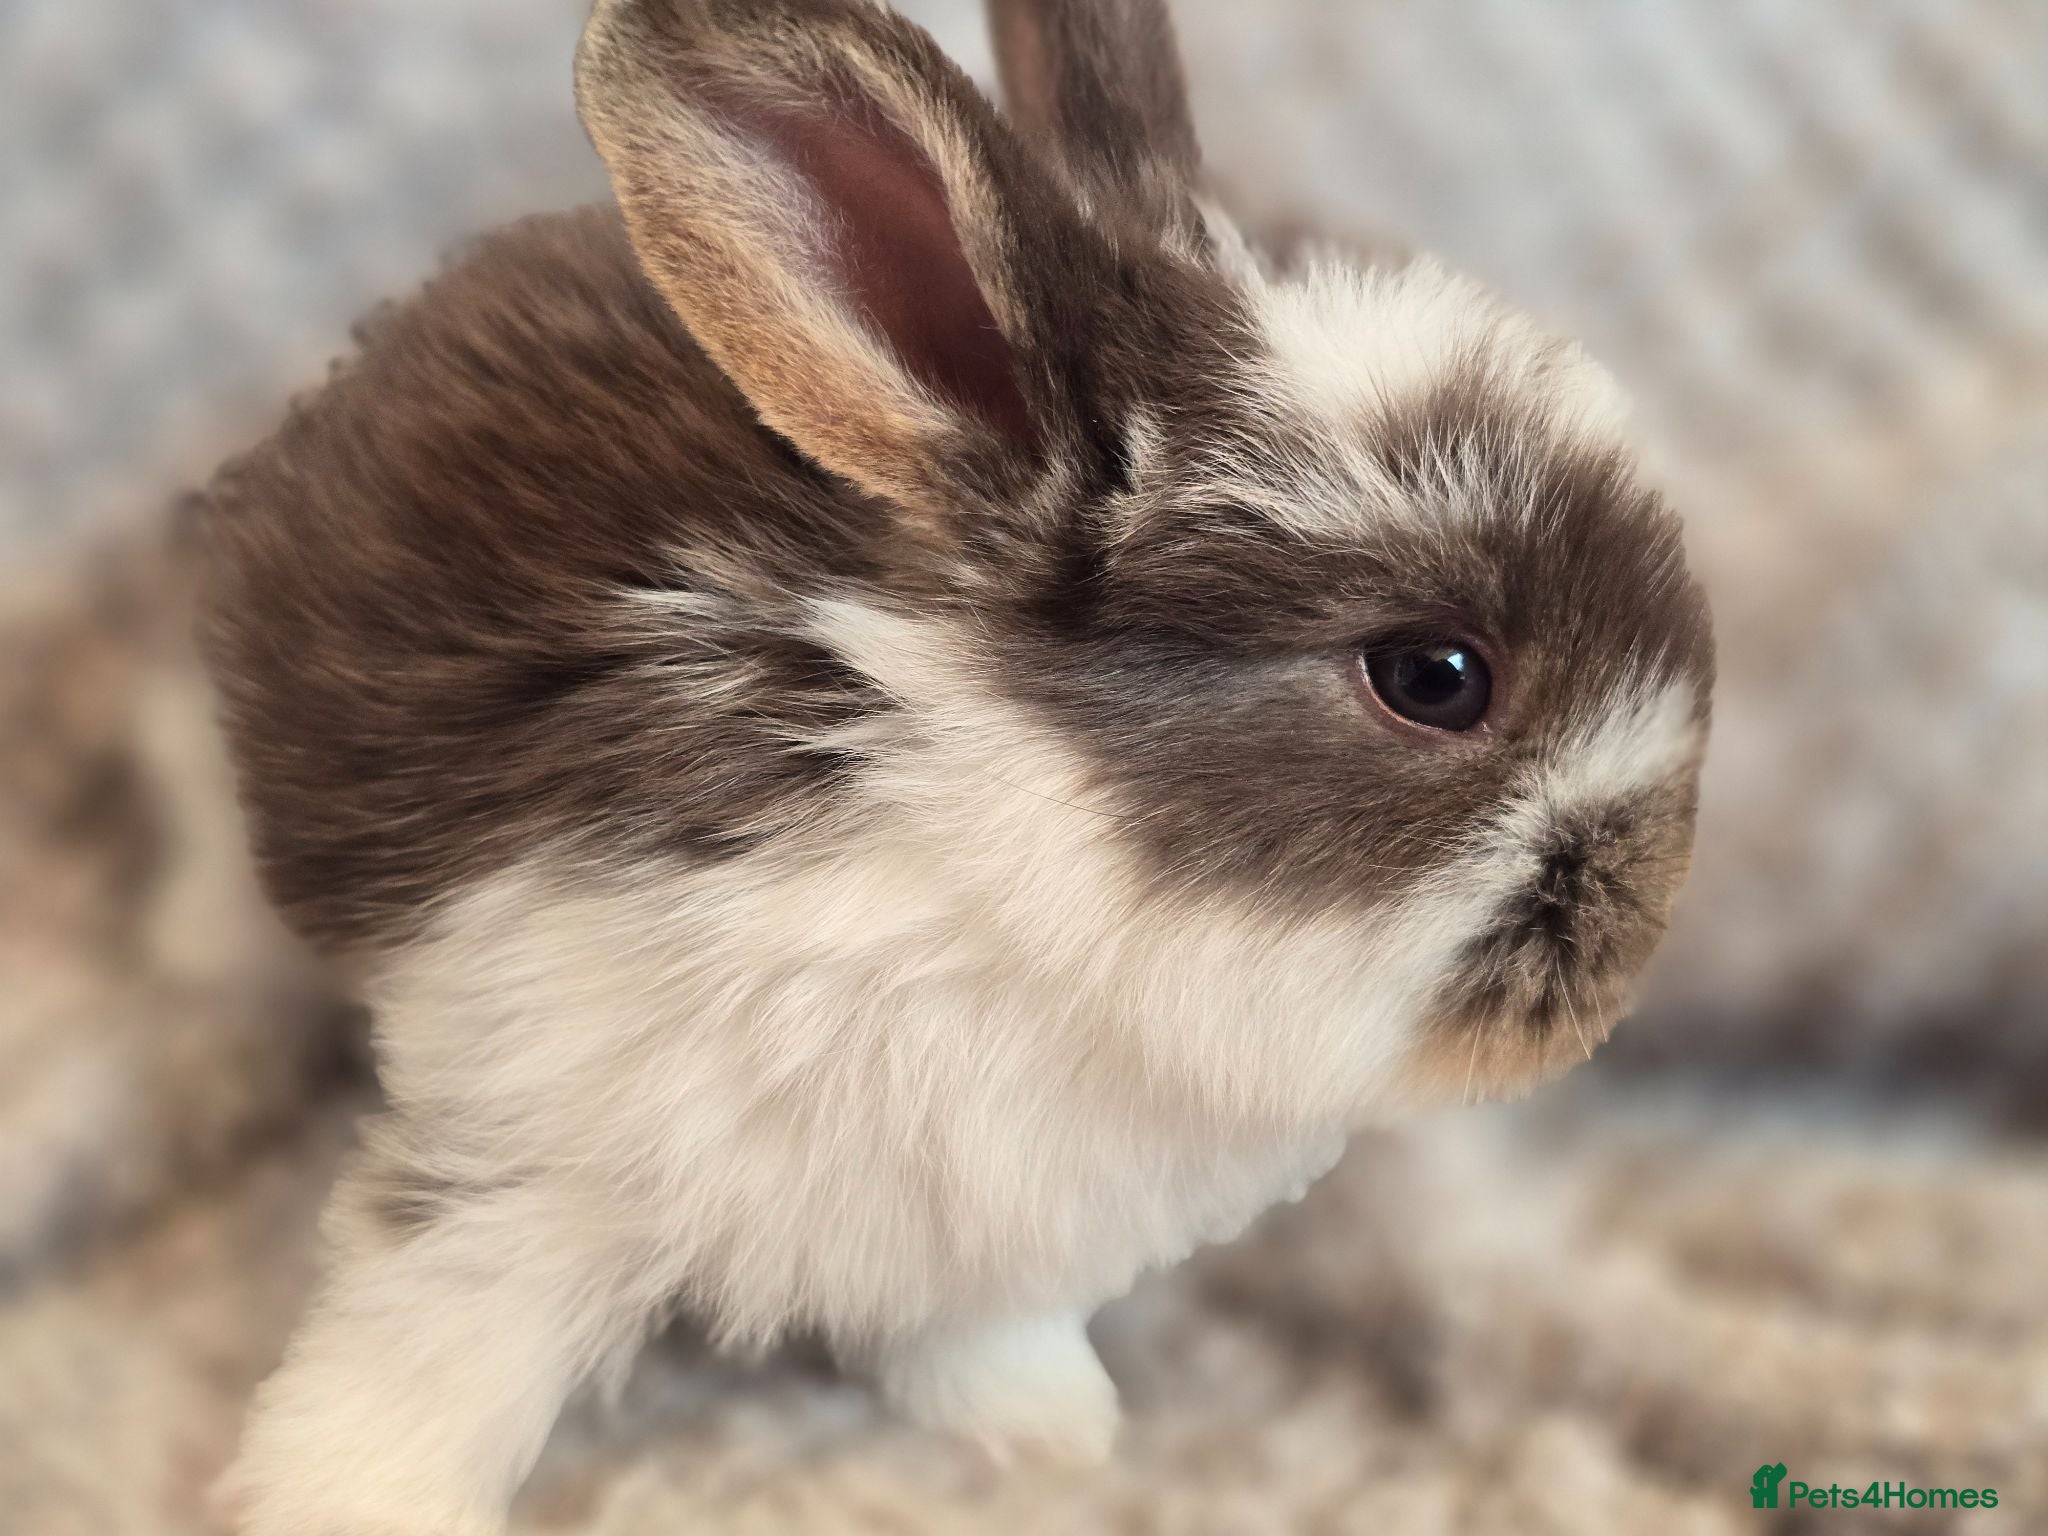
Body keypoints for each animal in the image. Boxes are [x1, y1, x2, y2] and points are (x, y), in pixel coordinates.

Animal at [197, 0, 1714, 1530]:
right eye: (1434, 677)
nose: (1635, 933)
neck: (1024, 887)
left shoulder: (971, 1231)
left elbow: (976, 1341)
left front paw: (1053, 1439)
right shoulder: (522, 1155)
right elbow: (424, 1367)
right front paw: (323, 1504)